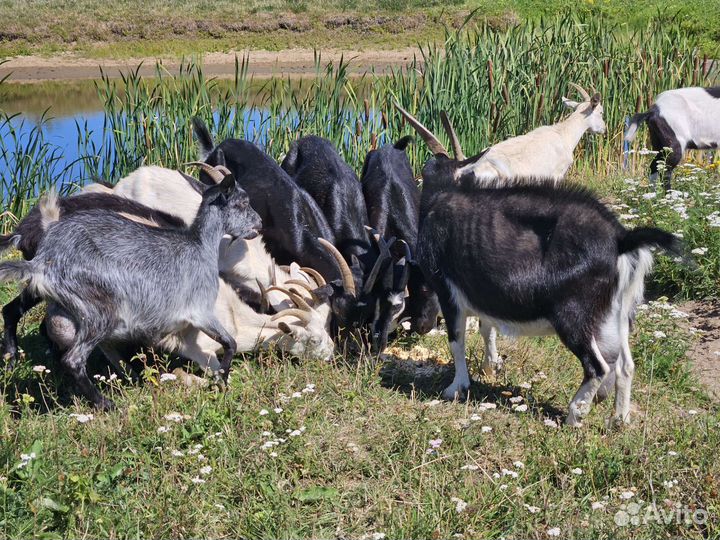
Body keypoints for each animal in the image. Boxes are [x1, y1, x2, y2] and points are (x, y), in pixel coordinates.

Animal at [0, 173, 261, 410]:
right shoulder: (200, 311)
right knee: (73, 360)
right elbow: (230, 342)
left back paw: (13, 360)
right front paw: (222, 379)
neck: (199, 247)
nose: (259, 224)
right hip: (98, 311)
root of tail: (43, 263)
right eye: (242, 203)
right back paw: (107, 404)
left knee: (17, 314)